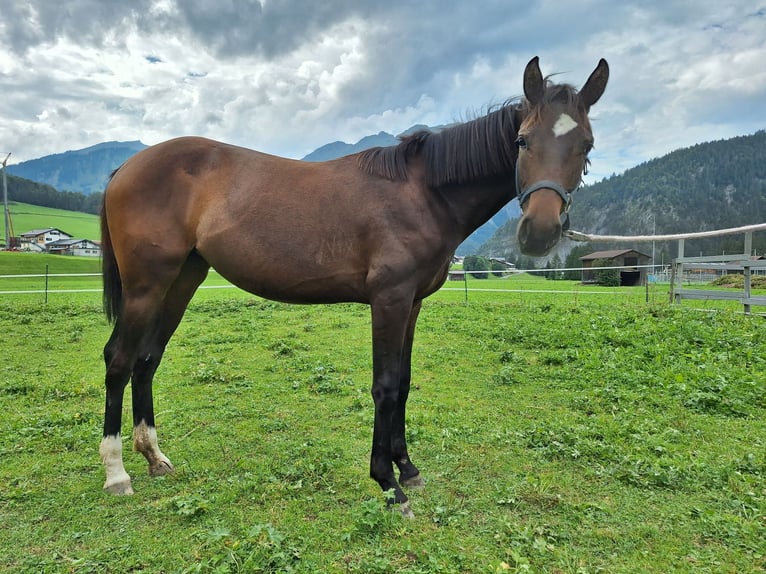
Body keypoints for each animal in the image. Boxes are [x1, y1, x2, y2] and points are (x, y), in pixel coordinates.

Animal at [99, 57, 608, 516]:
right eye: (522, 139)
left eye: (586, 144)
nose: (540, 231)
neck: (424, 193)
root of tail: (126, 168)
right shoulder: (389, 300)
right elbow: (384, 386)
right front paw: (388, 484)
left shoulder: (412, 304)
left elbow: (403, 382)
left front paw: (408, 469)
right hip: (147, 285)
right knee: (120, 360)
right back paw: (117, 473)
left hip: (182, 279)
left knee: (147, 359)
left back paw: (154, 457)